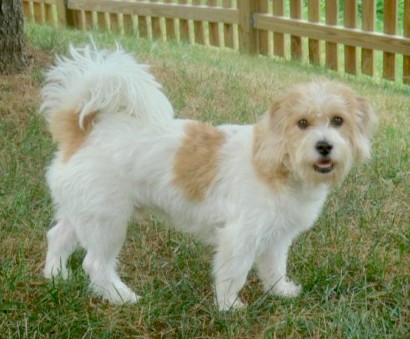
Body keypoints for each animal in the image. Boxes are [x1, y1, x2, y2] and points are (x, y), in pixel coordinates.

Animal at [42, 46, 378, 312]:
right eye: (302, 123)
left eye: (338, 120)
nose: (324, 146)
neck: (276, 163)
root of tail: (83, 132)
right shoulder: (239, 236)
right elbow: (234, 274)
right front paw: (229, 307)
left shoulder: (276, 237)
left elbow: (274, 268)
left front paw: (280, 291)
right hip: (107, 222)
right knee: (95, 263)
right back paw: (120, 296)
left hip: (83, 212)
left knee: (57, 237)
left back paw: (56, 277)